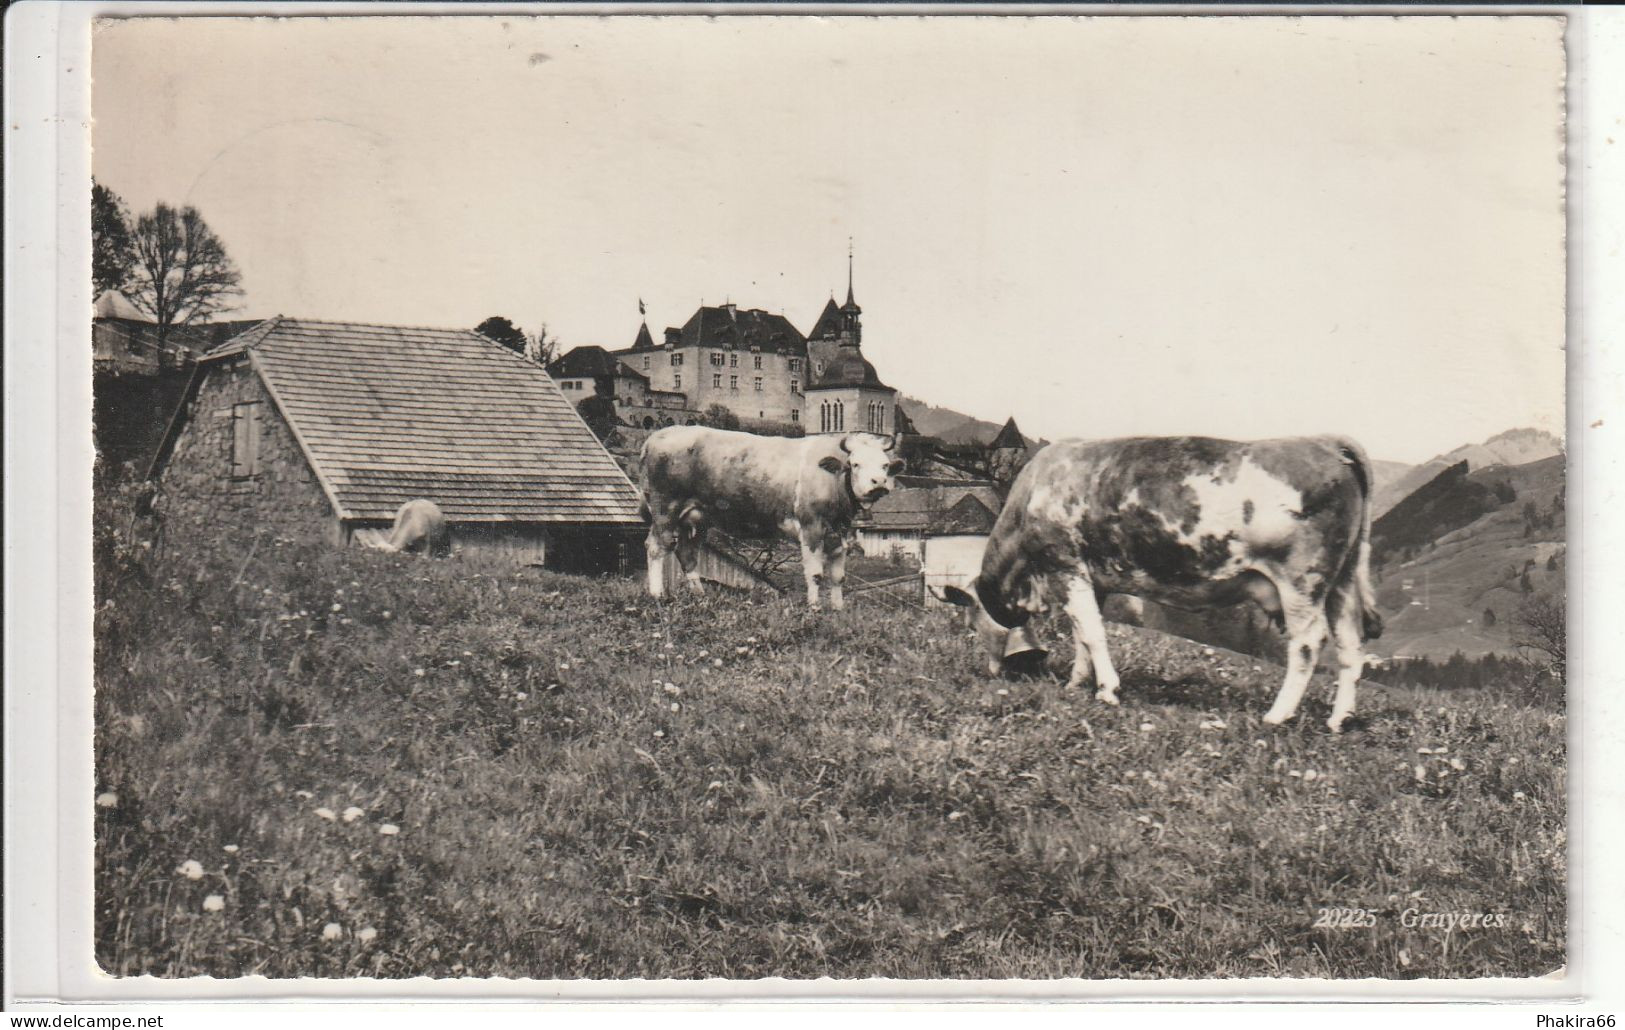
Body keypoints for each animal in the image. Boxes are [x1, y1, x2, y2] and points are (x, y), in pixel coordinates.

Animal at [640, 422, 910, 604]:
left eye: (885, 465)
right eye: (855, 464)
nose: (878, 483)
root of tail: (657, 436)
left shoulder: (838, 535)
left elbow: (837, 577)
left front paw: (837, 609)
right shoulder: (811, 527)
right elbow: (815, 574)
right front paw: (814, 608)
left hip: (696, 518)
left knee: (687, 554)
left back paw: (700, 595)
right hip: (665, 508)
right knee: (656, 546)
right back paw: (657, 595)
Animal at [942, 432, 1384, 731]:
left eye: (971, 623)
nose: (994, 672)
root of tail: (1324, 441)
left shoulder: (1065, 564)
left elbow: (1093, 633)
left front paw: (1107, 690)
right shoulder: (1092, 578)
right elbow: (1083, 632)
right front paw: (1077, 682)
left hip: (1301, 579)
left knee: (1308, 643)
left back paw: (1277, 714)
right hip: (1342, 579)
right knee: (1351, 644)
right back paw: (1340, 719)